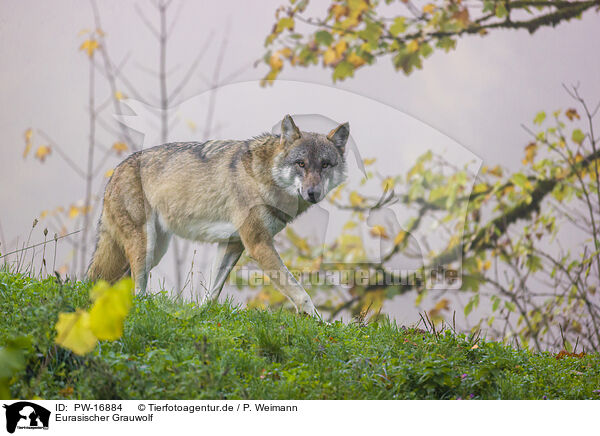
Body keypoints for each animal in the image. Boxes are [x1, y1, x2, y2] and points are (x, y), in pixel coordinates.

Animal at [84, 114, 346, 316]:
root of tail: (114, 172)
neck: (263, 177)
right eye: (301, 164)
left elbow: (211, 292)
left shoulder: (232, 244)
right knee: (135, 288)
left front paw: (200, 315)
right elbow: (299, 291)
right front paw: (318, 322)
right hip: (145, 247)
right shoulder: (258, 244)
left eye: (325, 165)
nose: (313, 193)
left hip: (155, 251)